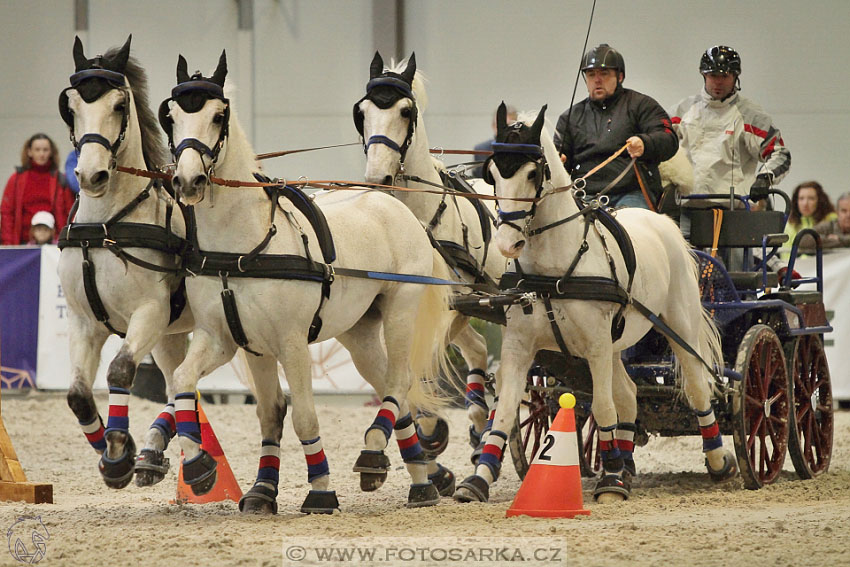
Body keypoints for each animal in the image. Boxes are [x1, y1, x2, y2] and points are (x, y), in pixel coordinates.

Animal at [57, 35, 192, 488]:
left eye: (119, 105)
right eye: (70, 106)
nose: (91, 176)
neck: (105, 226)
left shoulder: (149, 313)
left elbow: (119, 371)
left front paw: (119, 452)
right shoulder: (84, 321)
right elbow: (78, 396)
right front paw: (112, 454)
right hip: (172, 335)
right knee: (177, 384)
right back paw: (155, 450)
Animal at [157, 52, 450, 516]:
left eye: (218, 115)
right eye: (171, 117)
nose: (188, 181)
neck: (241, 247)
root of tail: (390, 201)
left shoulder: (291, 343)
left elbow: (303, 417)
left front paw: (321, 490)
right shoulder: (234, 341)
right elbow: (214, 391)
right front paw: (223, 475)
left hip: (401, 309)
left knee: (399, 381)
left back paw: (381, 458)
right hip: (358, 331)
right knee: (390, 385)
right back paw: (414, 478)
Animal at [354, 51, 506, 464]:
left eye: (405, 111)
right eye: (362, 111)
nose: (376, 179)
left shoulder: (449, 306)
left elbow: (418, 363)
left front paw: (430, 426)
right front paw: (427, 428)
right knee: (478, 347)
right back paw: (478, 422)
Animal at [450, 105, 736, 506]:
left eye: (532, 172)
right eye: (492, 173)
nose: (507, 244)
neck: (553, 271)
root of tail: (661, 220)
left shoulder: (596, 345)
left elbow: (602, 407)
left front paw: (611, 480)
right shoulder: (520, 346)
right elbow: (505, 409)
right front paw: (478, 478)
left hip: (678, 325)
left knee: (696, 386)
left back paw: (717, 460)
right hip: (616, 344)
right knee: (628, 395)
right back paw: (627, 464)